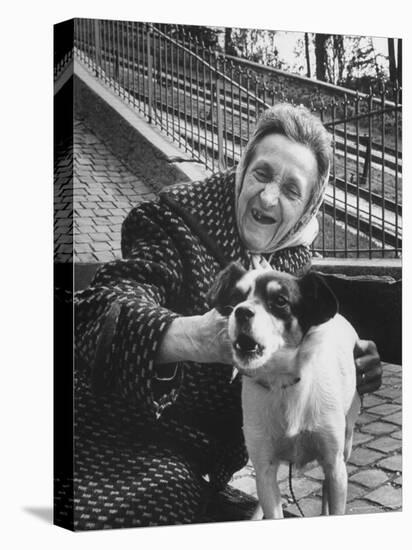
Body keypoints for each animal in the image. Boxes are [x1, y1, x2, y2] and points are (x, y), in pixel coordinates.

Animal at [209, 266, 360, 520]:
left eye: (280, 301)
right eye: (236, 297)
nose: (241, 311)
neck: (282, 383)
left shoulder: (334, 464)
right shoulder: (265, 466)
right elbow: (271, 506)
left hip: (345, 444)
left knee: (327, 487)